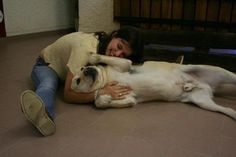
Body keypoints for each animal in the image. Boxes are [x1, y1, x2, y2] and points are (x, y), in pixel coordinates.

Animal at [71, 52, 236, 120]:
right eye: (77, 81)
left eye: (82, 69)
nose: (87, 69)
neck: (105, 80)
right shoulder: (130, 98)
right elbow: (99, 101)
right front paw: (104, 99)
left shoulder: (125, 64)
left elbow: (104, 57)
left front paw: (93, 57)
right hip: (202, 101)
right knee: (227, 110)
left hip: (212, 71)